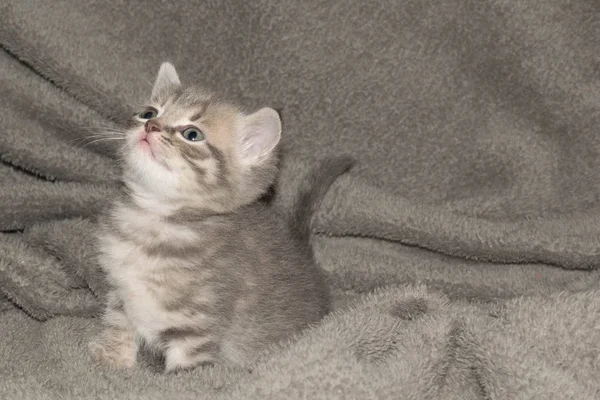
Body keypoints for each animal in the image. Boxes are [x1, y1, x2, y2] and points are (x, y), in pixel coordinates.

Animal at [91, 62, 354, 372]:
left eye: (192, 134)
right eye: (149, 113)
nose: (151, 126)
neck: (155, 219)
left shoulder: (198, 325)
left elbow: (187, 368)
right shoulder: (120, 291)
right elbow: (118, 324)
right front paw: (112, 359)